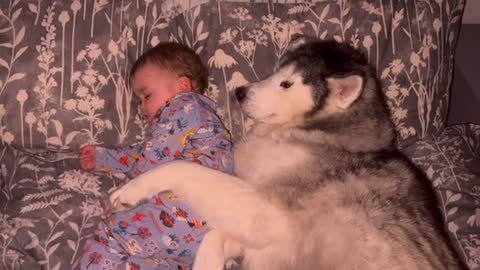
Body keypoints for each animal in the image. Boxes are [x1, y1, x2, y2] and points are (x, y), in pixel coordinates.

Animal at [108, 37, 464, 268]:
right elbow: (215, 236)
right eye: (277, 72)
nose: (239, 92)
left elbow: (184, 168)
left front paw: (131, 190)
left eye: (287, 84)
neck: (321, 135)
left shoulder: (268, 213)